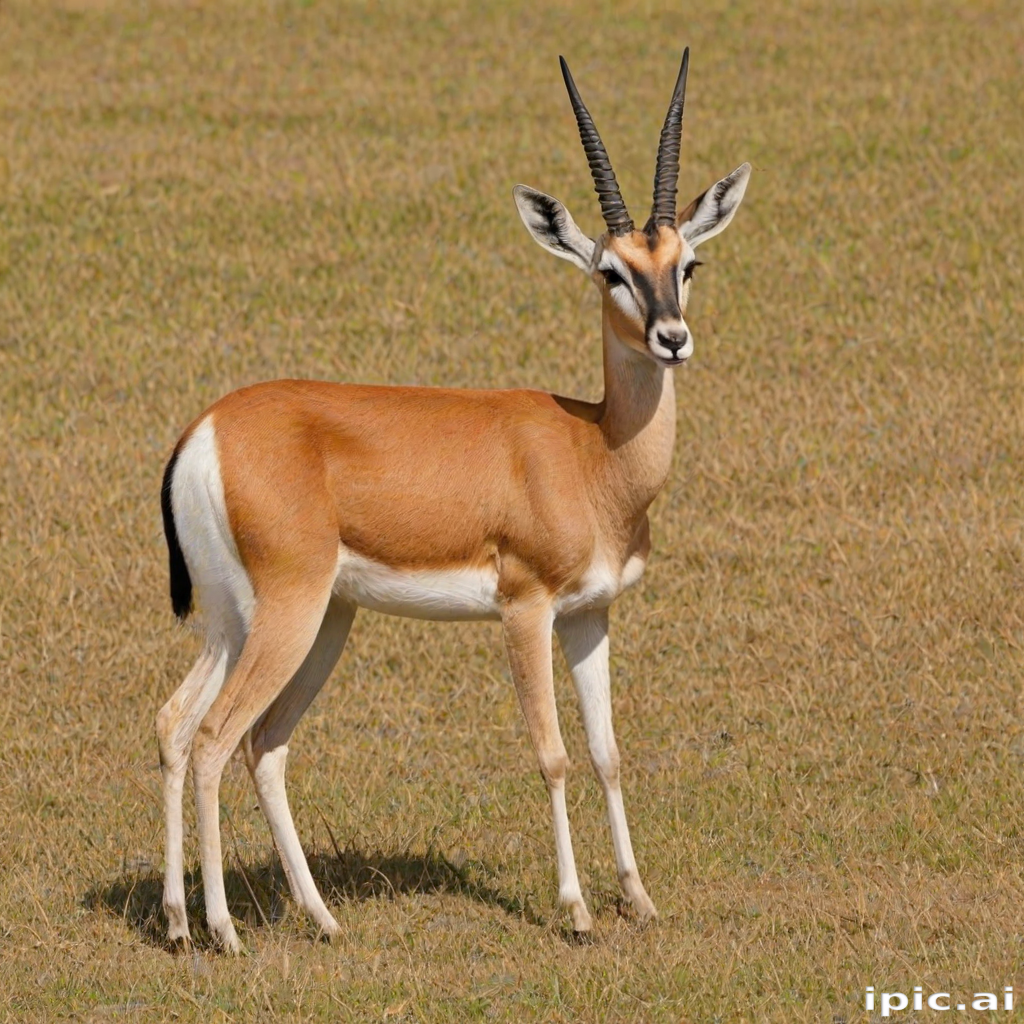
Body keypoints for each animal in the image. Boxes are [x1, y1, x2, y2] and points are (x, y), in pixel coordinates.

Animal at [157, 48, 750, 952]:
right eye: (609, 269)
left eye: (687, 264)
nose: (671, 338)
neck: (591, 451)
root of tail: (206, 430)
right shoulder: (526, 610)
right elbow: (552, 753)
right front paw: (576, 912)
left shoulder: (590, 614)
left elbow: (609, 752)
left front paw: (639, 899)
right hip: (288, 614)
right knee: (220, 737)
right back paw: (224, 930)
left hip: (271, 620)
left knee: (208, 731)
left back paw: (249, 921)